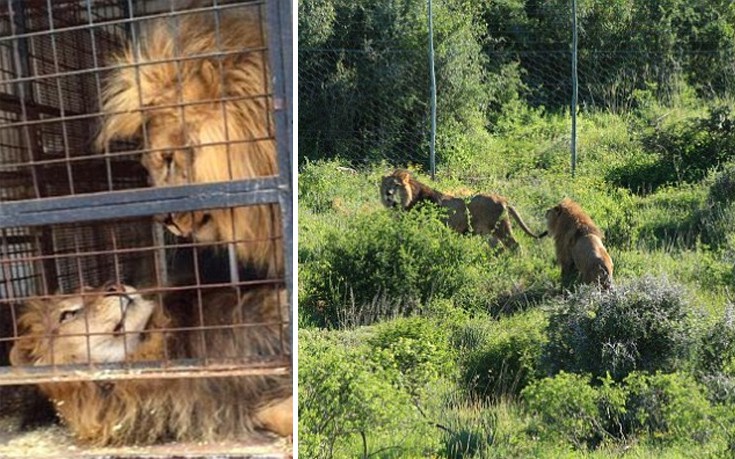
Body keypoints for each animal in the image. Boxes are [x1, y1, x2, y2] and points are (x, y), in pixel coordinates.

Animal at [380, 169, 548, 248]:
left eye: (397, 185)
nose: (388, 194)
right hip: (488, 233)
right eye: (386, 185)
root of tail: (503, 199)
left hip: (501, 228)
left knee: (515, 246)